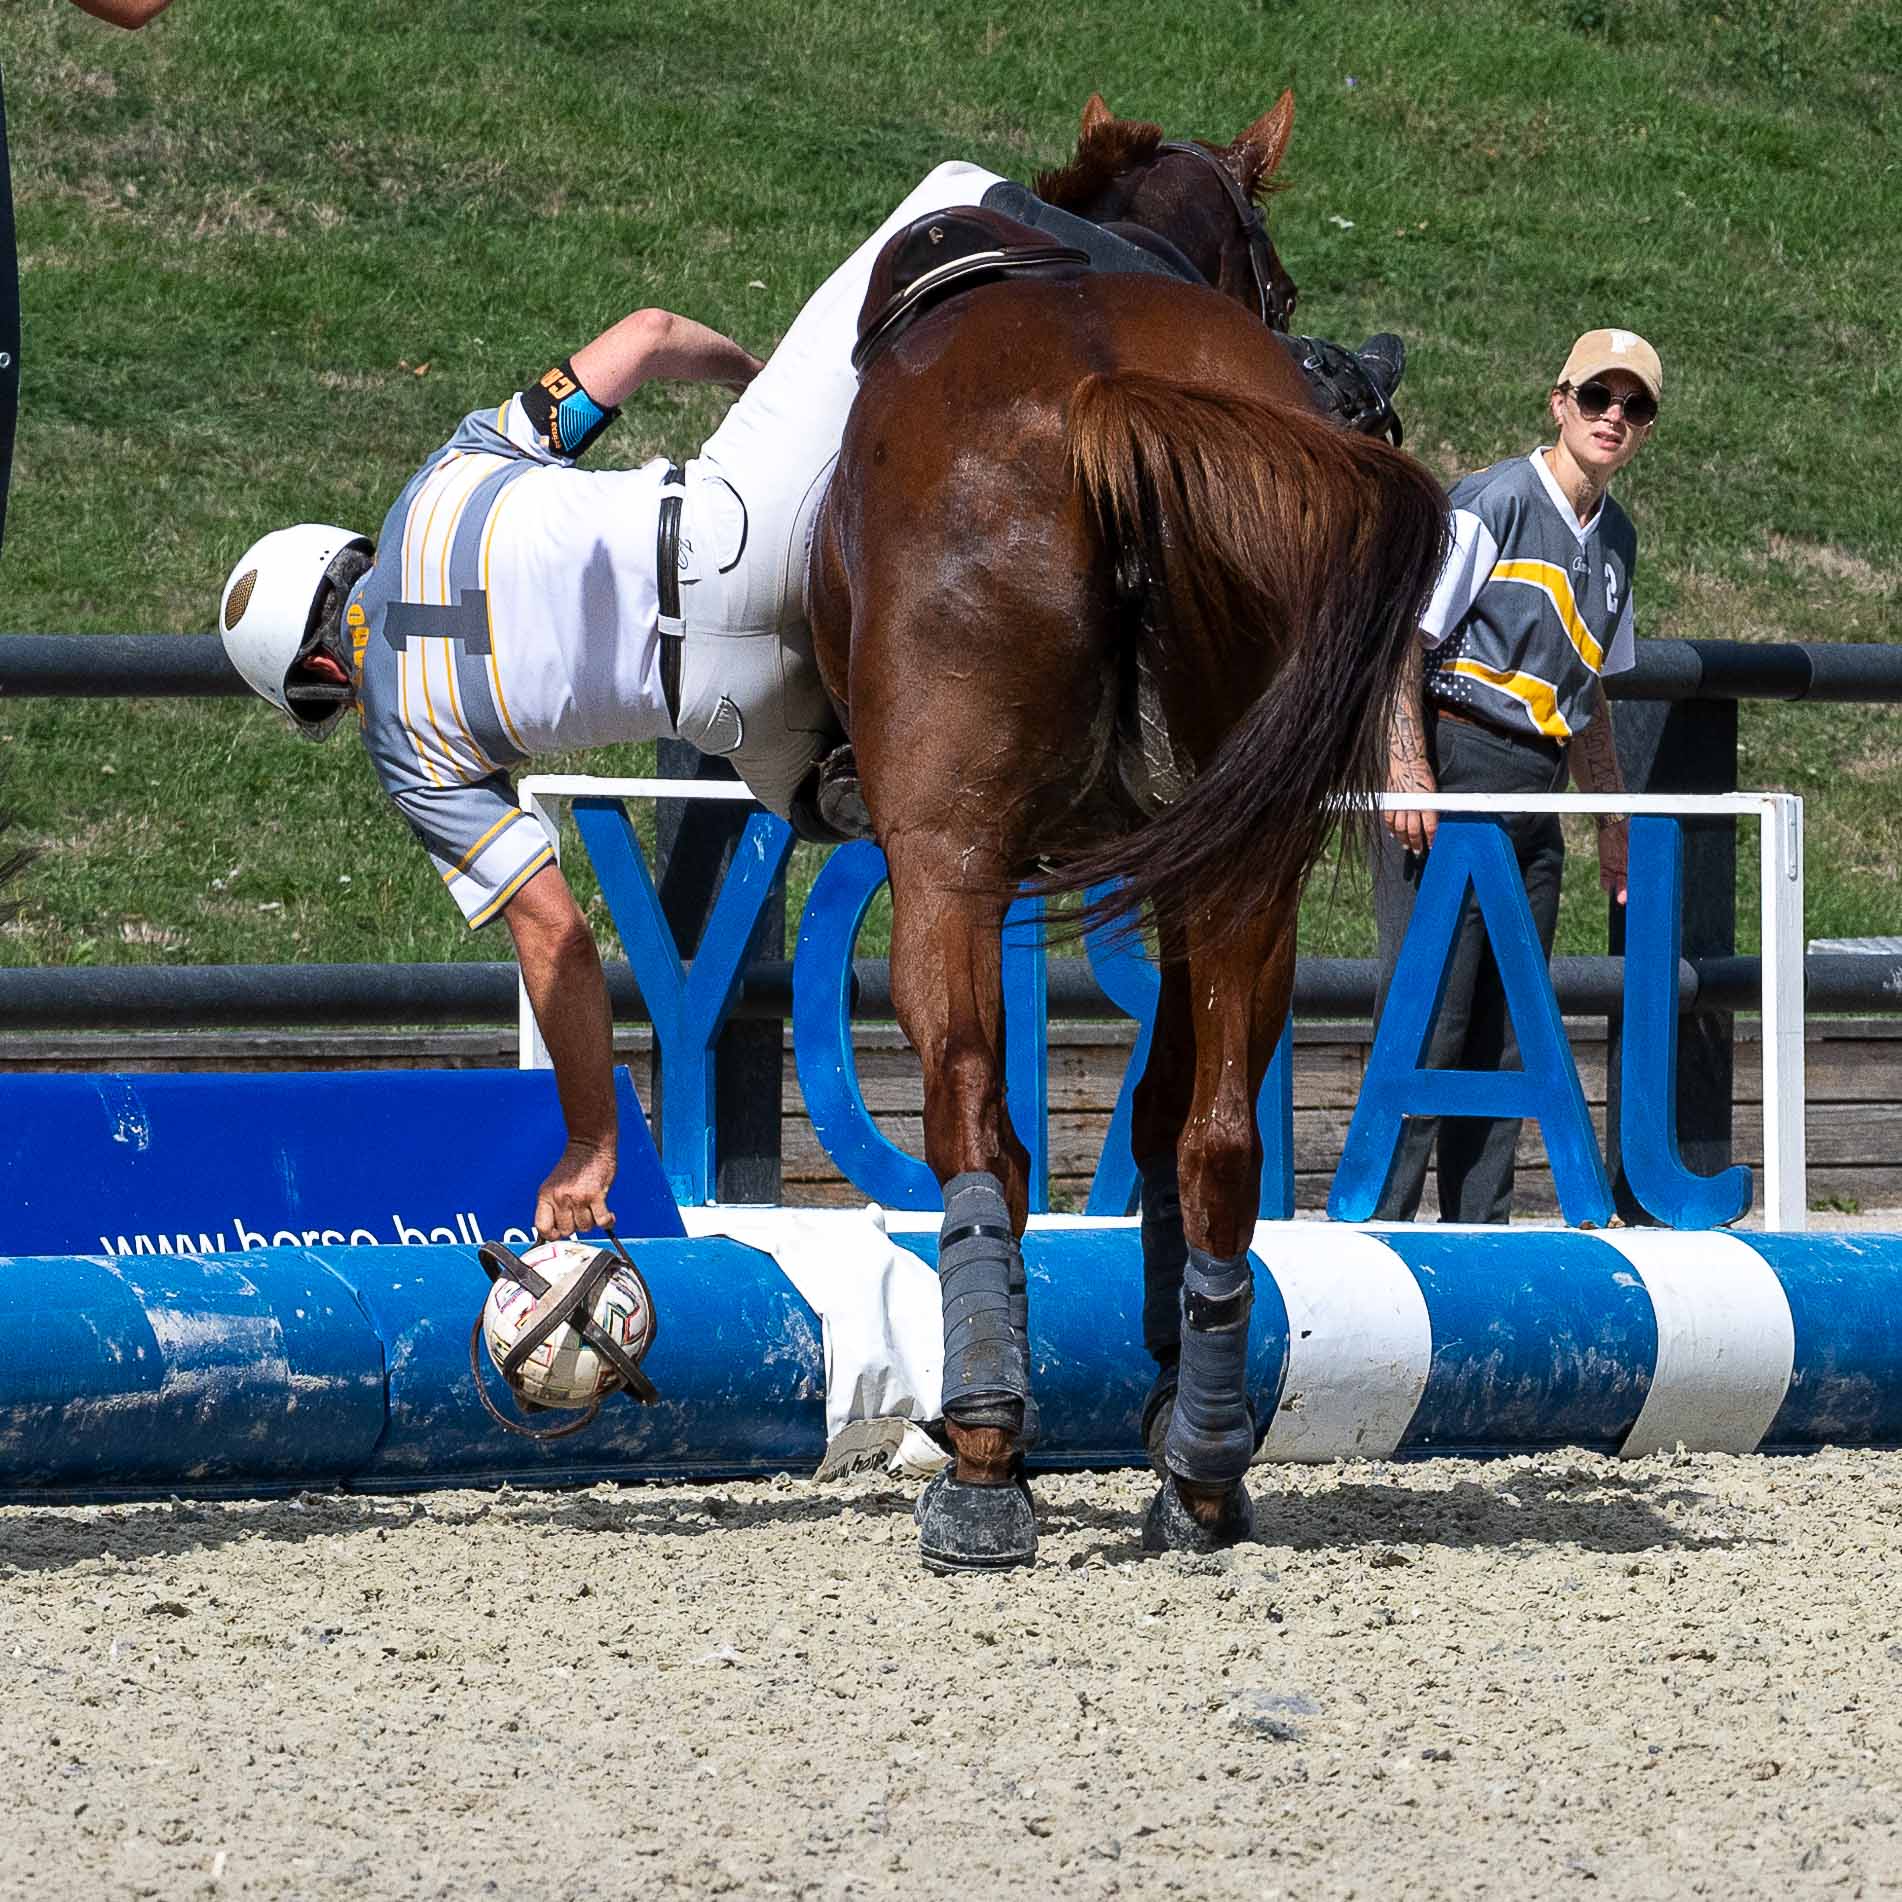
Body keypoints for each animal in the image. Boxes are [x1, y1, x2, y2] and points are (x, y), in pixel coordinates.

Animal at [807, 95, 1451, 1569]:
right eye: (1286, 287)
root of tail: (1105, 397)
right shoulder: (1190, 864)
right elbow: (1165, 1112)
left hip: (947, 865)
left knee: (973, 1117)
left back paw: (985, 1460)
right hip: (1242, 866)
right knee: (1217, 1142)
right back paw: (1202, 1467)